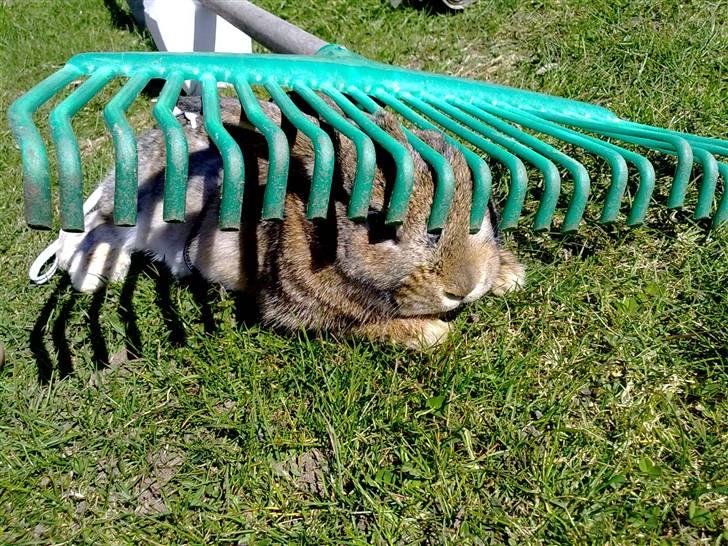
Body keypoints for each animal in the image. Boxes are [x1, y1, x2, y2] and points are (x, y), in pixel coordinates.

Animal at [55, 95, 524, 346]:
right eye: (378, 224)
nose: (464, 287)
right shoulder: (297, 310)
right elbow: (359, 324)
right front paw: (429, 334)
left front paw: (508, 275)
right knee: (100, 225)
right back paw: (89, 274)